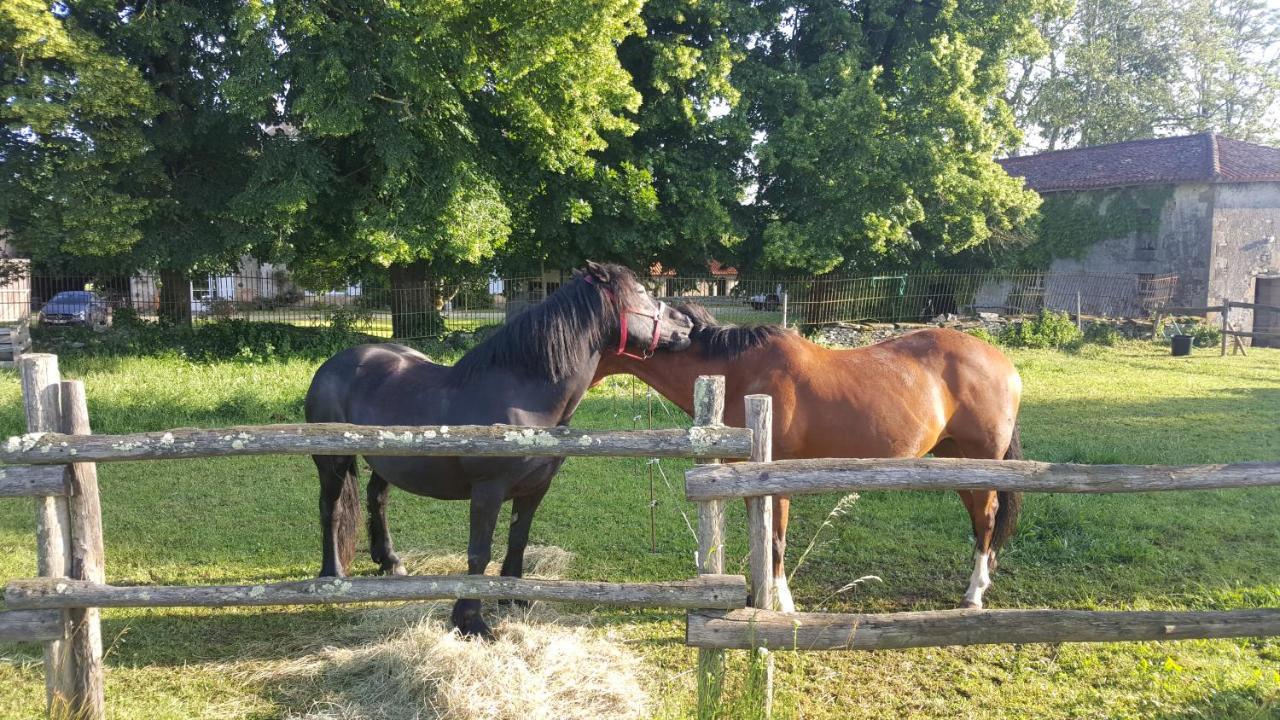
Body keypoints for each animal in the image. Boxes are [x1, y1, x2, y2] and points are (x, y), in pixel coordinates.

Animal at [304, 262, 696, 632]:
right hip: (332, 463)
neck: (523, 396)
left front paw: (513, 599)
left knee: (377, 499)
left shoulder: (536, 488)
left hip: (386, 460)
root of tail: (332, 366)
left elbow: (518, 539)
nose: (687, 324)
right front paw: (471, 621)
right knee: (330, 510)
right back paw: (332, 575)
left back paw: (390, 562)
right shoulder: (487, 491)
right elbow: (479, 552)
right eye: (641, 291)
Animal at [593, 299, 1024, 607]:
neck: (741, 372)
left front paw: (781, 605)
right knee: (980, 521)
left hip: (982, 461)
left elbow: (776, 543)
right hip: (959, 463)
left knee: (987, 518)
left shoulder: (775, 481)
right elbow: (761, 540)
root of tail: (1004, 364)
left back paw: (973, 594)